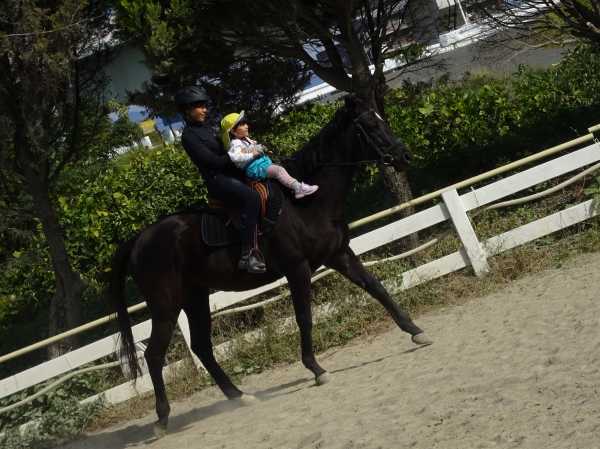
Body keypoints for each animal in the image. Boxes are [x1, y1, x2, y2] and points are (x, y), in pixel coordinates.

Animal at [108, 95, 432, 434]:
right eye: (369, 125)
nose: (404, 156)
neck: (305, 202)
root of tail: (139, 239)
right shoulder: (297, 269)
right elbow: (304, 317)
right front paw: (316, 369)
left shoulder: (339, 255)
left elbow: (377, 289)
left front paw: (415, 332)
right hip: (166, 305)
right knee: (154, 355)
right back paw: (162, 419)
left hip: (195, 298)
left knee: (201, 347)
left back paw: (240, 396)